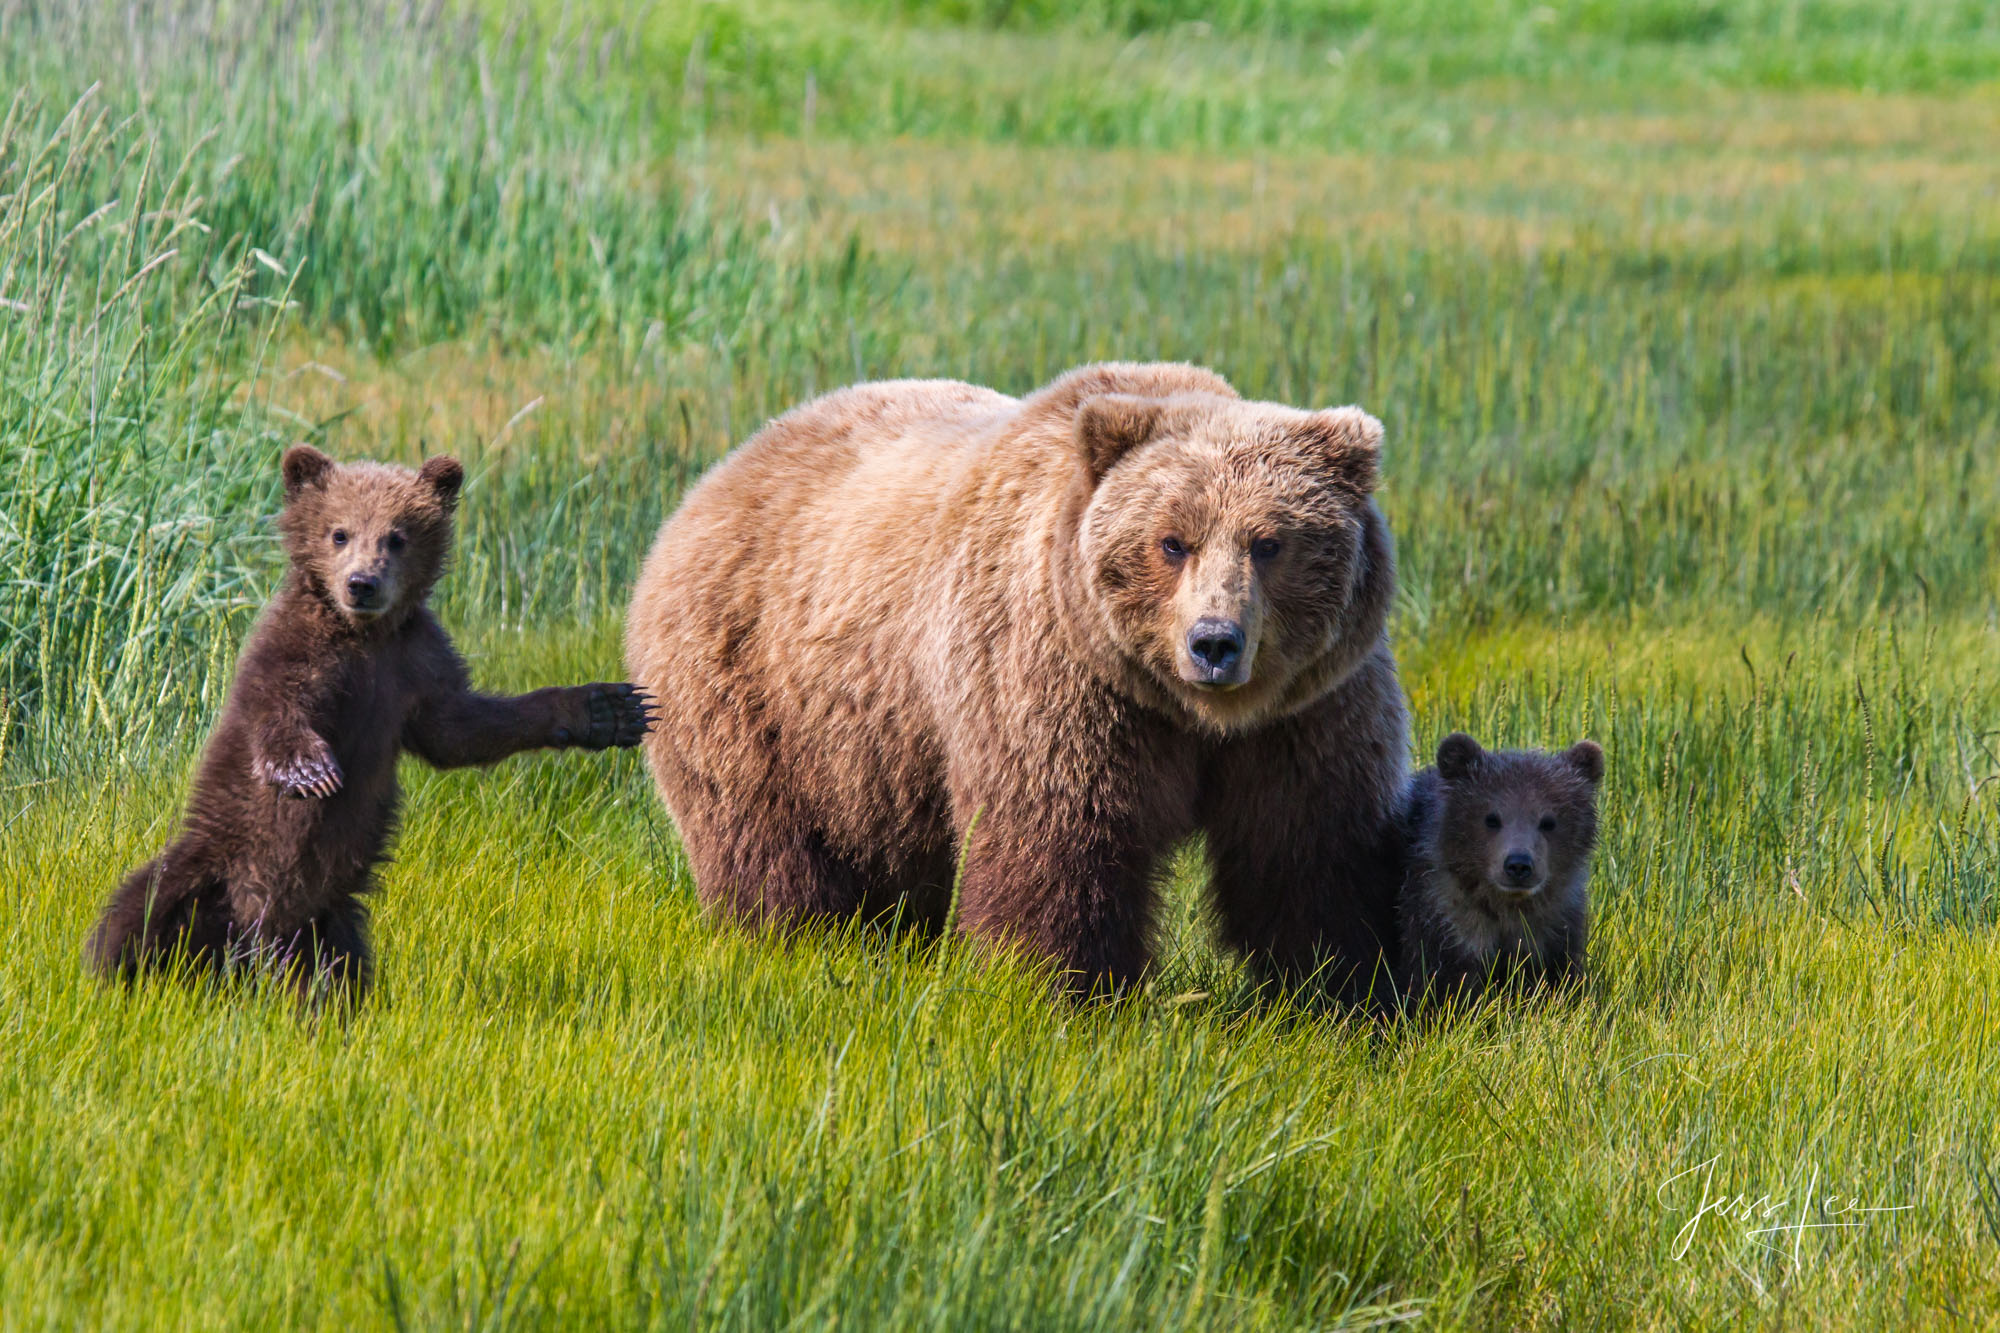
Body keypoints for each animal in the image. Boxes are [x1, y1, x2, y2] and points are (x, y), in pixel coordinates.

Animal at [90, 444, 652, 996]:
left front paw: (607, 710)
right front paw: (310, 770)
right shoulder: (302, 647)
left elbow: (460, 730)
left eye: (397, 536)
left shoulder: (414, 662)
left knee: (334, 969)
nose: (363, 583)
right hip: (210, 863)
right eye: (339, 532)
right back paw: (120, 975)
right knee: (135, 911)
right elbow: (278, 702)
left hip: (327, 918)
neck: (365, 634)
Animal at [624, 364, 1408, 996]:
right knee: (765, 836)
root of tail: (718, 474)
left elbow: (1304, 847)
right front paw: (1058, 984)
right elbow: (1059, 831)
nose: (1214, 642)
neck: (1187, 712)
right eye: (1171, 542)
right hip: (756, 690)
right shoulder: (1054, 676)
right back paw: (793, 936)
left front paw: (1339, 987)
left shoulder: (1305, 712)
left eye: (1268, 542)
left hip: (877, 749)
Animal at [1400, 732, 1600, 1000]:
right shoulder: (1445, 915)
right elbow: (1445, 982)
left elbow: (1556, 977)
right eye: (1491, 819)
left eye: (1548, 822)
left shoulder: (1555, 922)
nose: (1518, 865)